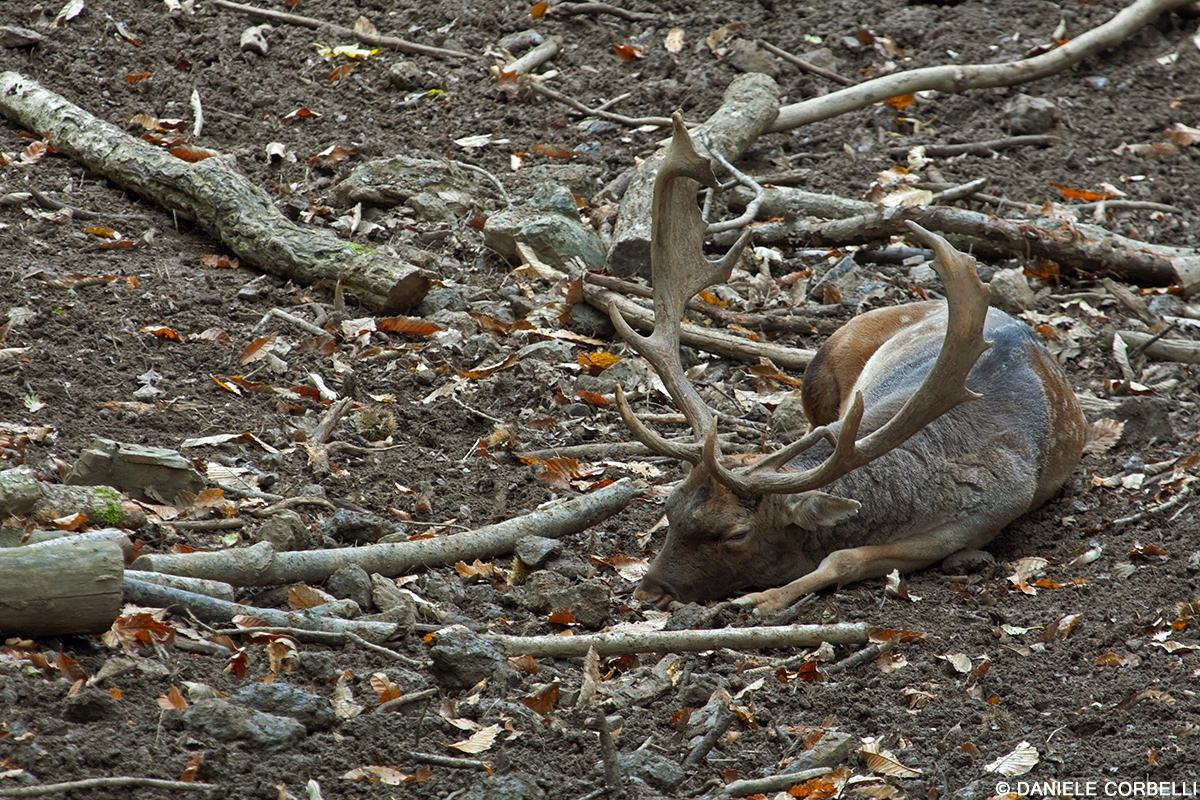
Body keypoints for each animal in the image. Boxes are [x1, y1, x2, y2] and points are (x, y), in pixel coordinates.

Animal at [609, 112, 1089, 614]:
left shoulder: (982, 518)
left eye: (735, 535)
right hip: (821, 367)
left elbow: (844, 558)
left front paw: (763, 599)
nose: (648, 593)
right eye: (670, 507)